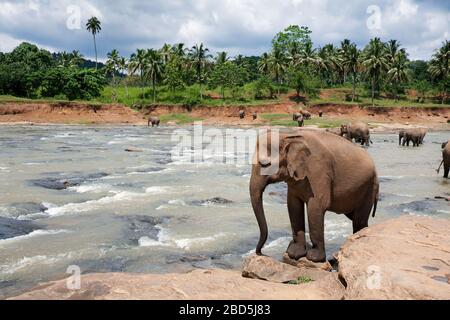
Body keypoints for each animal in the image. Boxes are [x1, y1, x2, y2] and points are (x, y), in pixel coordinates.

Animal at [250, 130, 380, 262]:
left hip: (369, 188)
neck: (288, 135)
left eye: (265, 164)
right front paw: (295, 253)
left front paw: (314, 258)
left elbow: (316, 206)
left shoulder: (318, 170)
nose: (261, 253)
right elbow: (293, 206)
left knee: (359, 220)